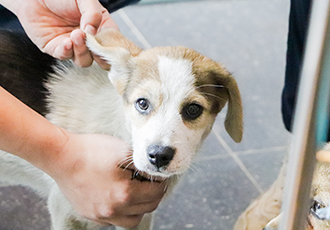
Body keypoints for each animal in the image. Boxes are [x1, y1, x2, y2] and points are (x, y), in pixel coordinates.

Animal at [0, 27, 242, 229]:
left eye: (193, 109)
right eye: (142, 103)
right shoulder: (66, 212)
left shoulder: (140, 216)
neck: (121, 130)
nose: (159, 156)